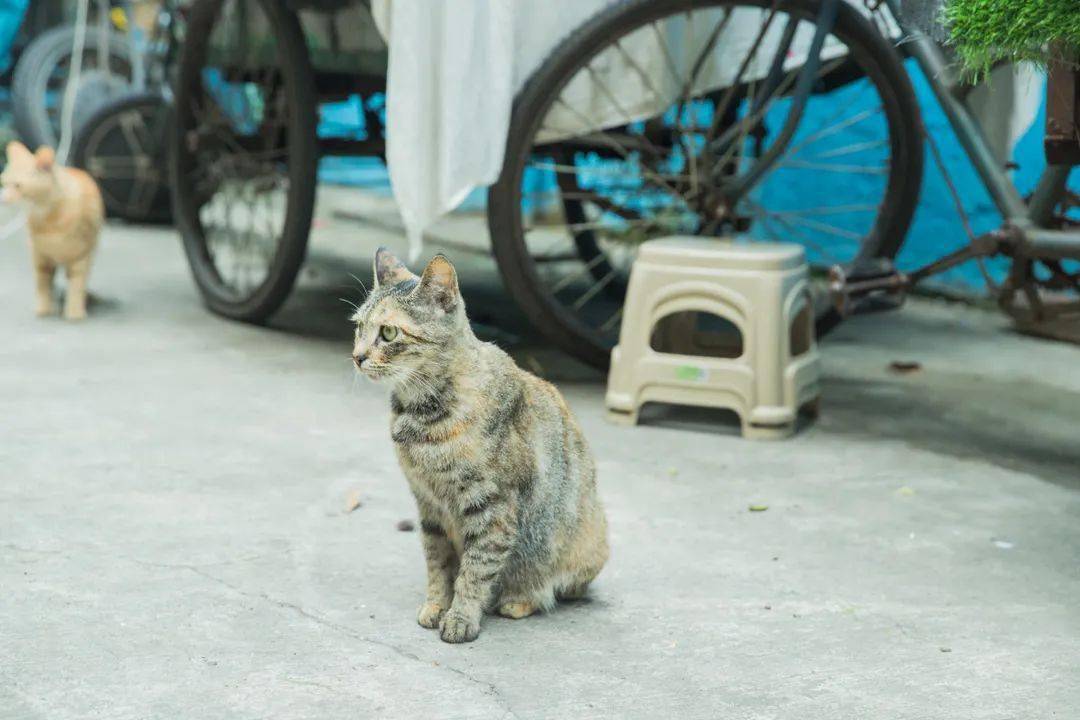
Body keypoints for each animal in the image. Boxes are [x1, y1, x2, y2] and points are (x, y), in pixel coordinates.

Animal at [352, 250, 609, 643]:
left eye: (388, 332)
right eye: (358, 327)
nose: (357, 356)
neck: (422, 413)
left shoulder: (492, 508)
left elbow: (476, 570)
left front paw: (461, 617)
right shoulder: (428, 505)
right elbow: (439, 565)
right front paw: (436, 605)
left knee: (559, 588)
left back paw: (517, 600)